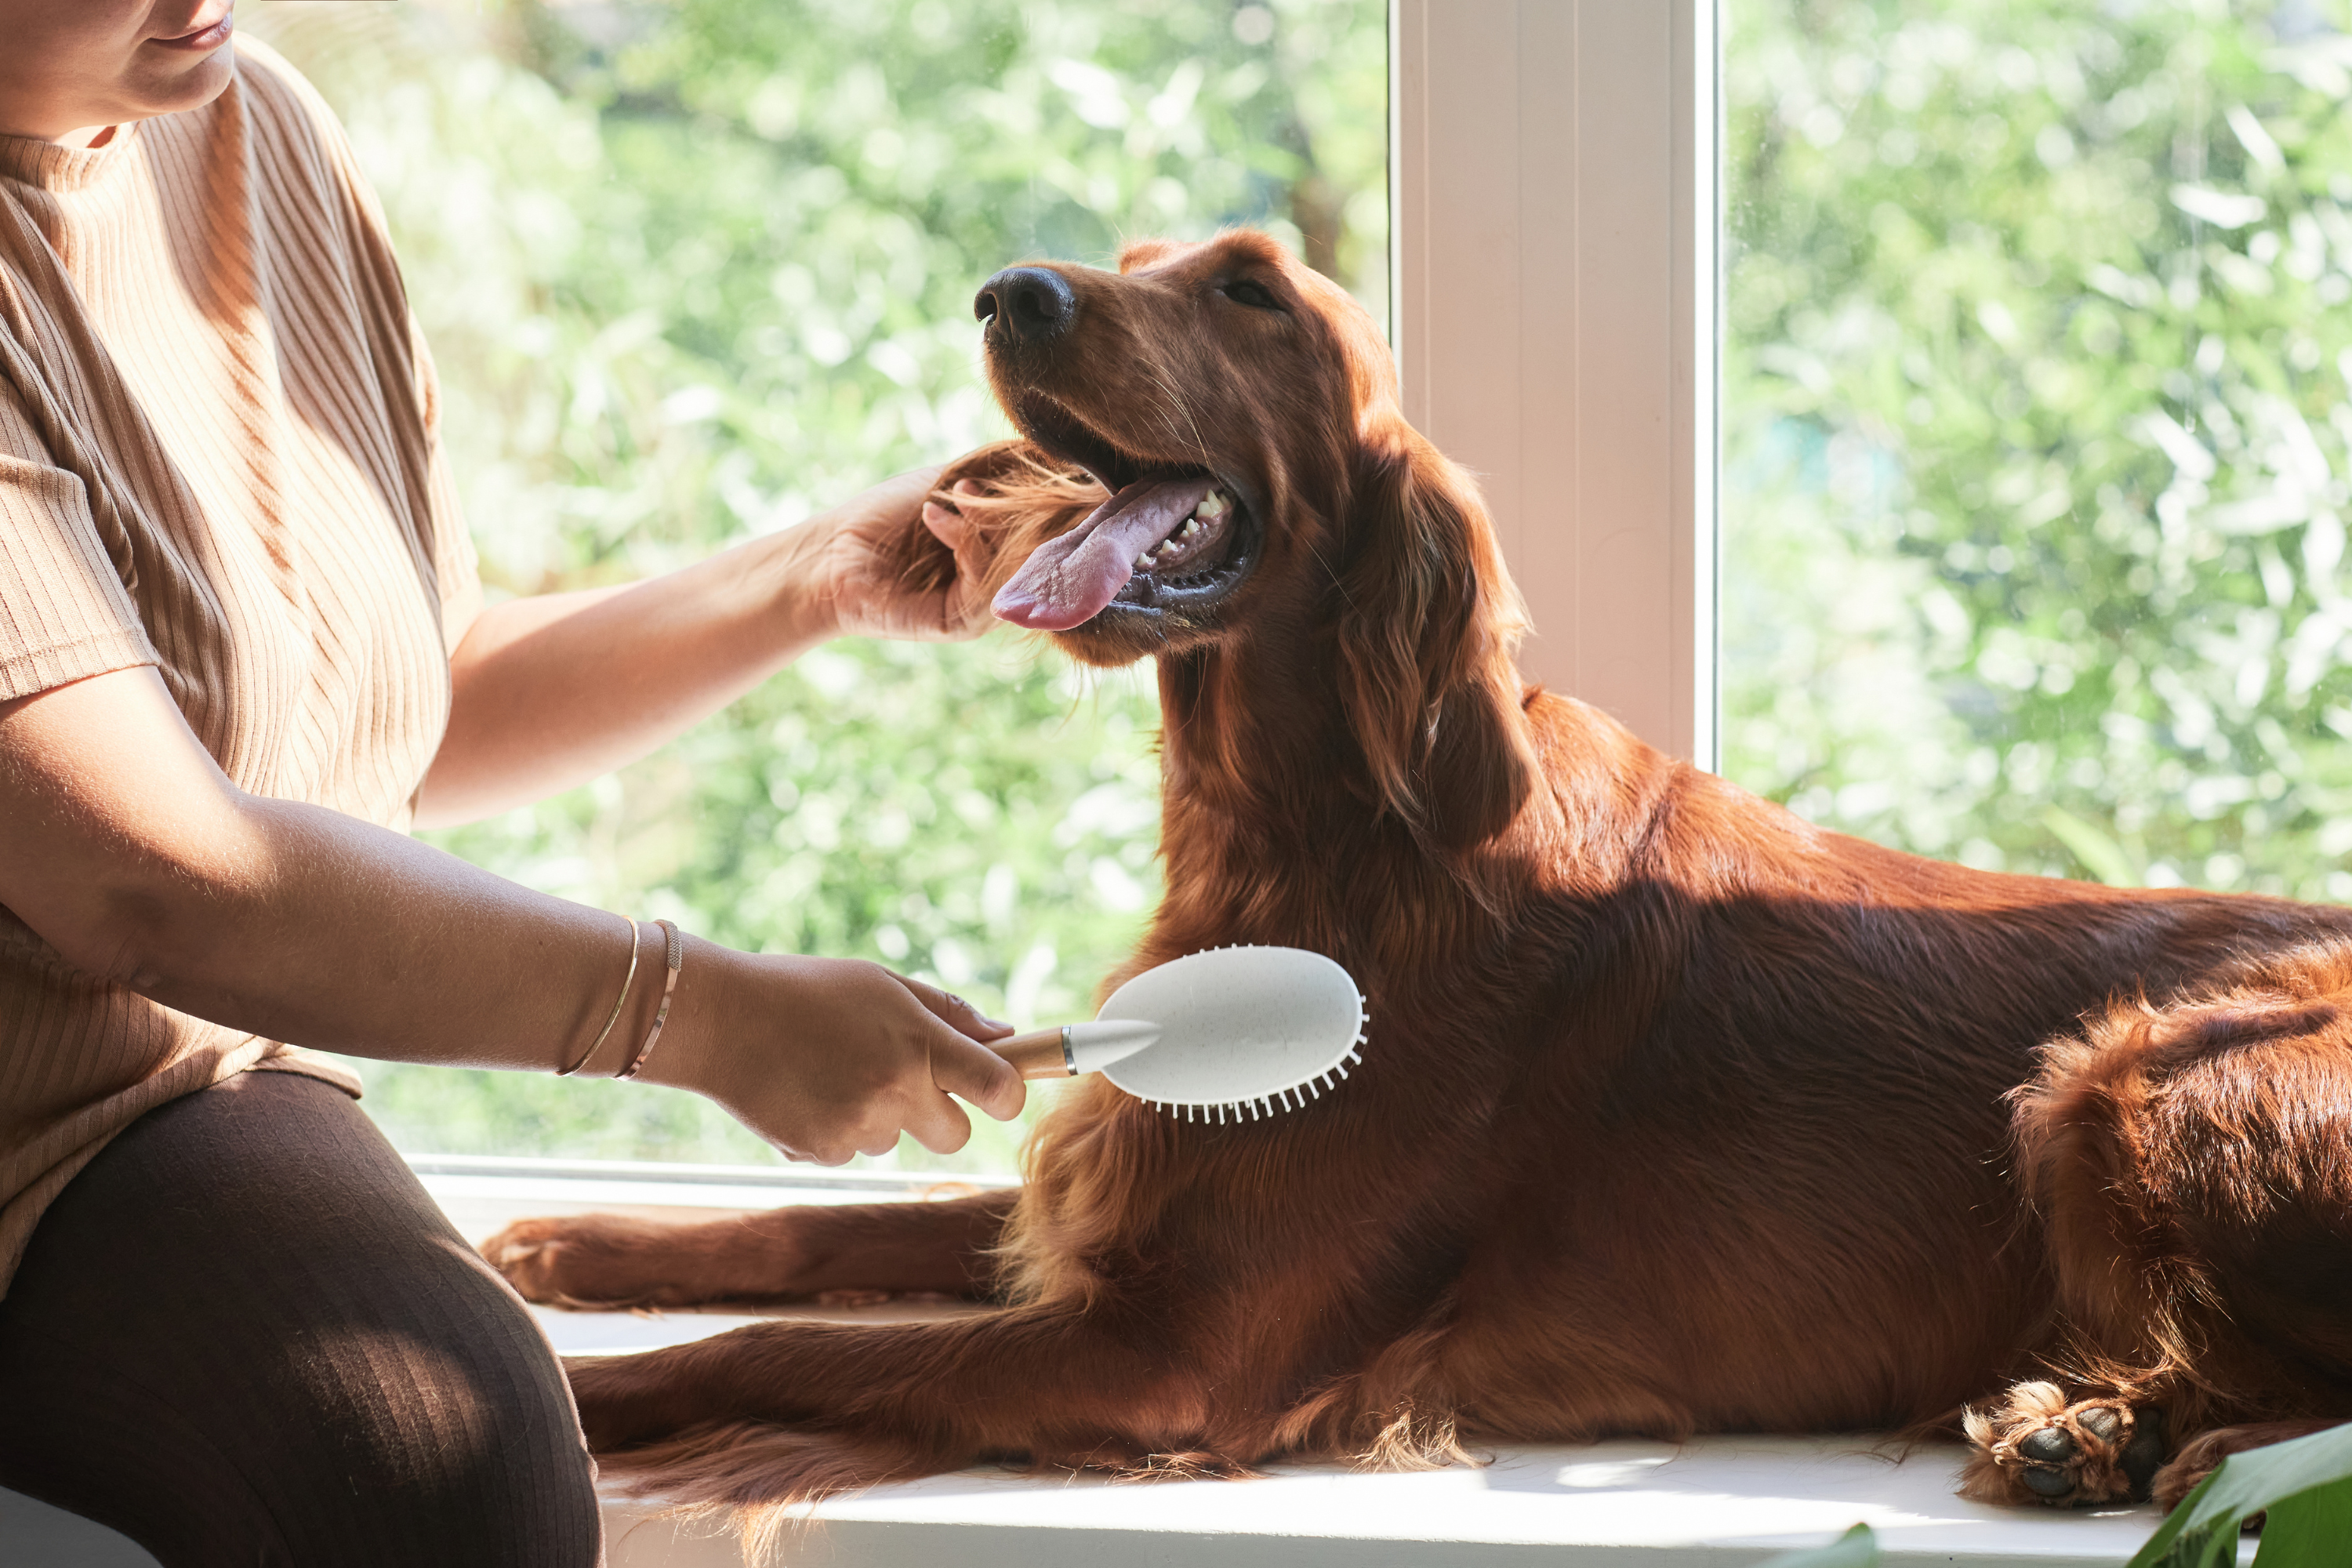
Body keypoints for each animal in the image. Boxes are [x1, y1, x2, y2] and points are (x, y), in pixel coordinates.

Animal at [482, 230, 2352, 1523]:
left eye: (1251, 294)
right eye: (1137, 259)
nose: (1007, 290)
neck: (1314, 849)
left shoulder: (1176, 1349)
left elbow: (783, 1348)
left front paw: (563, 1395)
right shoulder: (1111, 1207)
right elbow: (824, 1228)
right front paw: (581, 1242)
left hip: (2123, 1073)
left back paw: (2096, 1426)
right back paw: (2087, 1423)